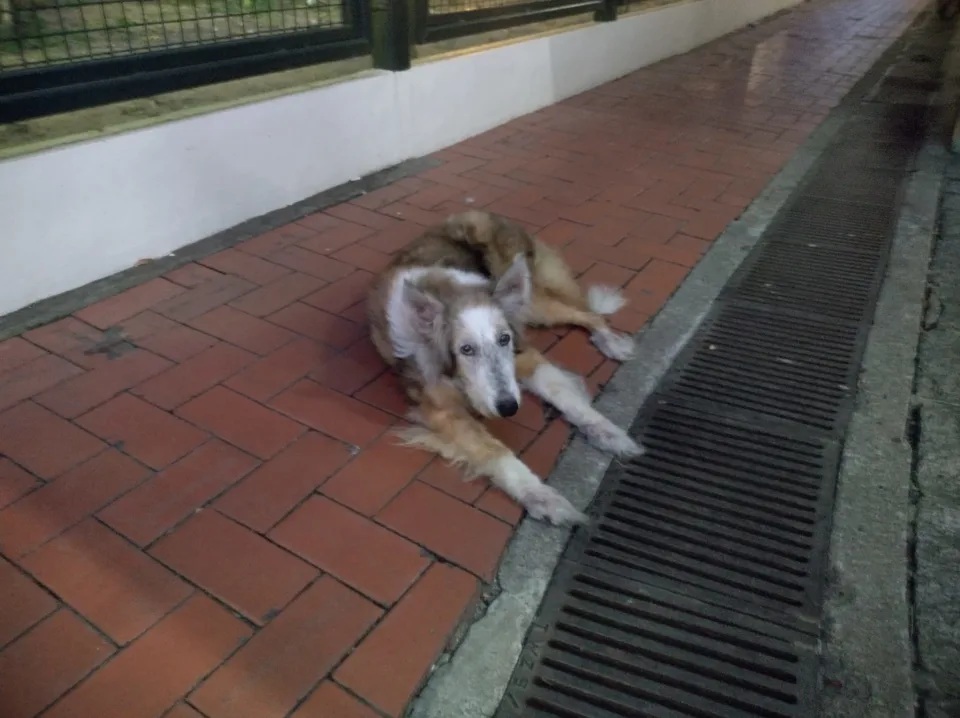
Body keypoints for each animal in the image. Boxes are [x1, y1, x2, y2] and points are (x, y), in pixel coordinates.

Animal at [368, 211, 644, 524]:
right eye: (466, 349)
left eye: (504, 339)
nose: (509, 408)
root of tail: (489, 215)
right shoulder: (441, 409)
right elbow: (496, 451)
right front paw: (541, 496)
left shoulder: (522, 354)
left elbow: (563, 394)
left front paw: (607, 431)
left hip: (533, 304)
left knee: (589, 314)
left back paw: (611, 342)